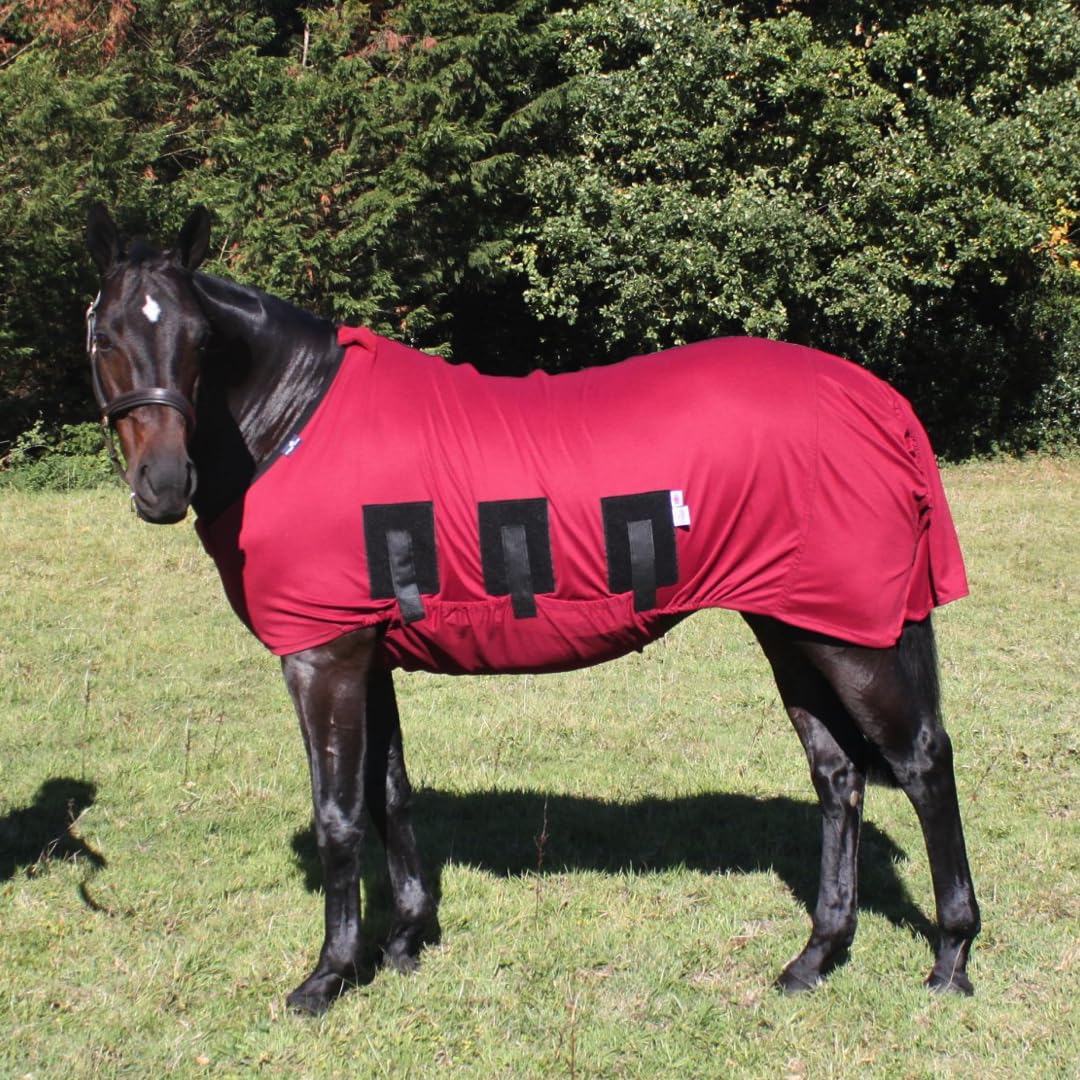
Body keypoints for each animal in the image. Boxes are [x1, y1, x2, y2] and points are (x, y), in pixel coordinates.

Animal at [84, 203, 980, 1014]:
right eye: (106, 338)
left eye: (201, 340)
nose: (163, 486)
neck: (296, 419)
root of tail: (878, 400)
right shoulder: (369, 653)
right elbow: (389, 793)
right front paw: (405, 940)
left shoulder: (323, 655)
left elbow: (339, 813)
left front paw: (329, 975)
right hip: (795, 625)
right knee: (839, 775)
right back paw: (816, 956)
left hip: (854, 635)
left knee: (923, 763)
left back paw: (951, 957)